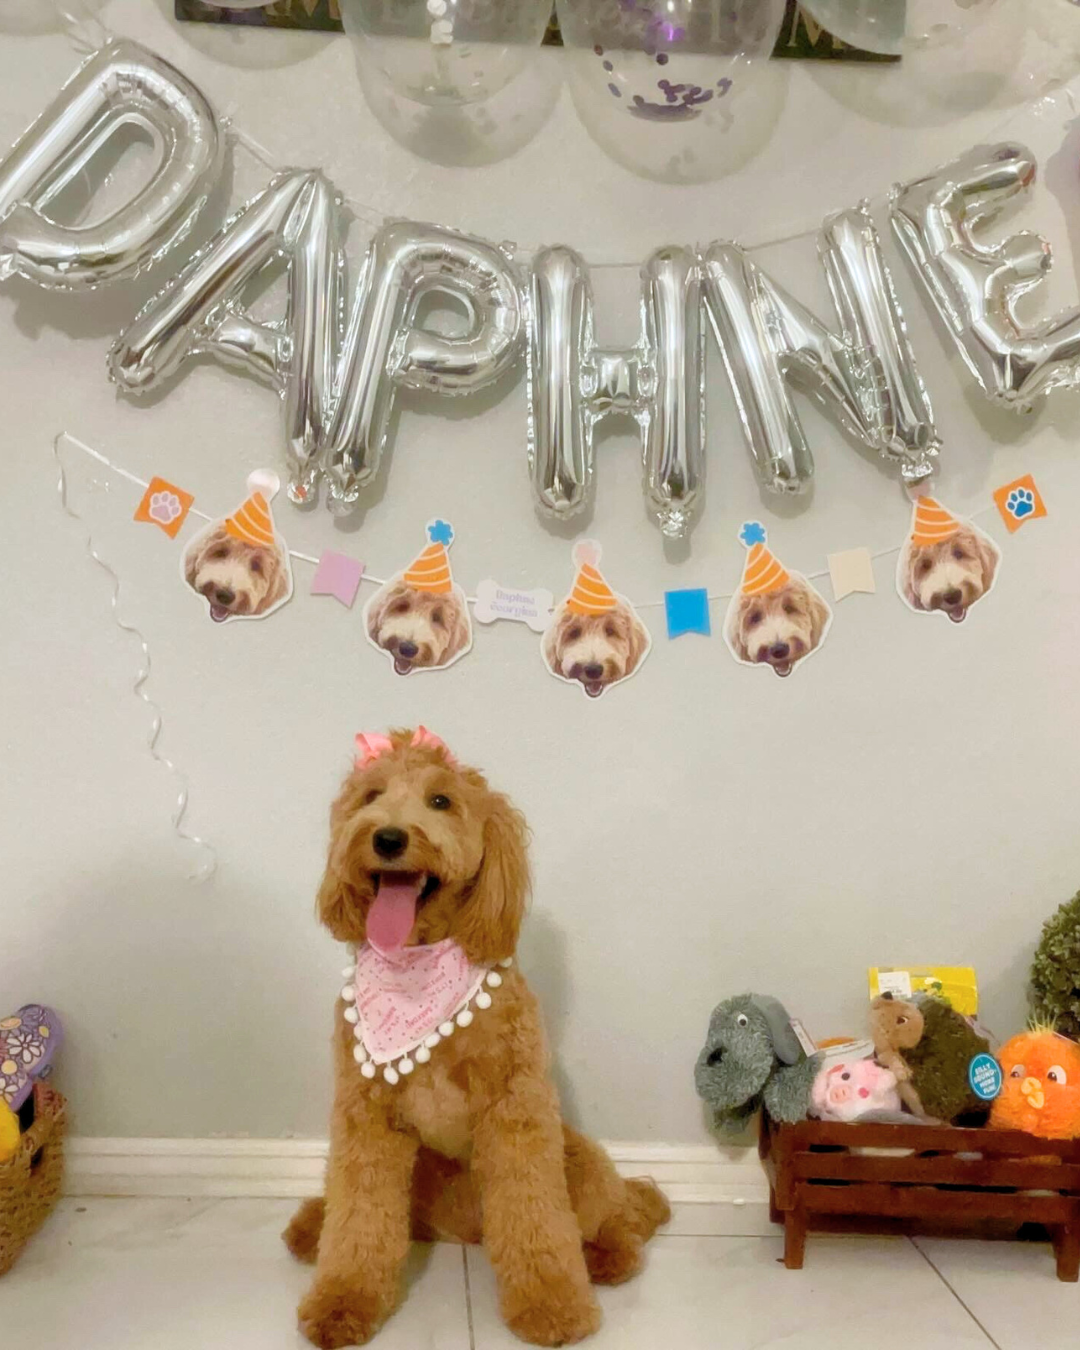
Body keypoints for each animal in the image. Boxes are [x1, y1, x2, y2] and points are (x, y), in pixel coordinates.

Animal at [284, 734, 666, 1344]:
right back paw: (312, 1224)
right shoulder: (365, 1117)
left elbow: (535, 1216)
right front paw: (341, 1302)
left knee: (615, 1214)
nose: (388, 837)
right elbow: (358, 1216)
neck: (416, 967)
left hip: (575, 1155)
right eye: (371, 796)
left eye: (441, 801)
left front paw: (552, 1306)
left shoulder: (515, 1111)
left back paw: (607, 1255)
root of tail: (460, 1231)